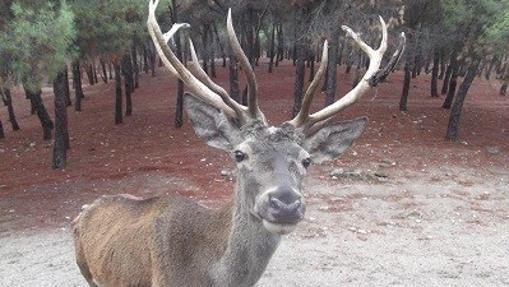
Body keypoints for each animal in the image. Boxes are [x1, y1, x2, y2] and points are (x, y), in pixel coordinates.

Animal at [71, 0, 404, 287]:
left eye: (306, 159)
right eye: (239, 154)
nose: (285, 203)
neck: (205, 274)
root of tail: (82, 212)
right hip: (86, 269)